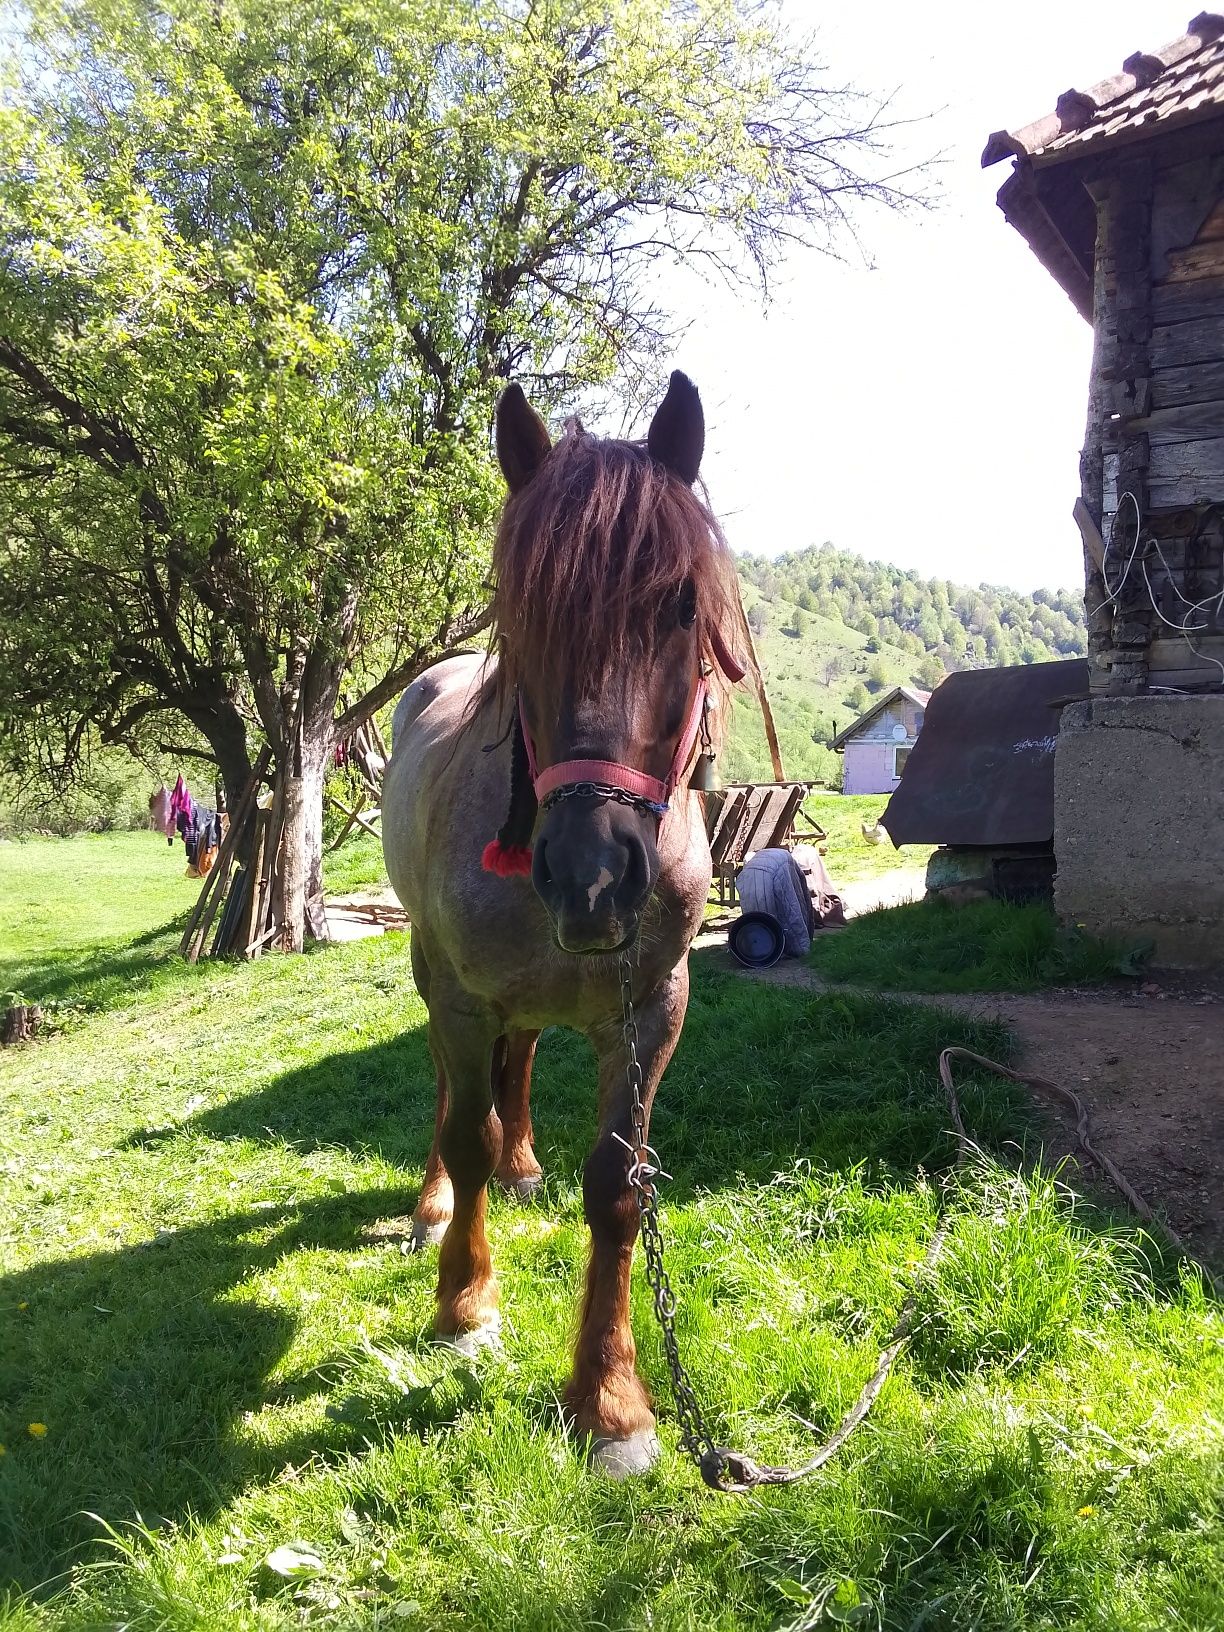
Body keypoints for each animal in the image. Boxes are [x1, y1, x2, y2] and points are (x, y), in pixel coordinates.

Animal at [383, 373, 747, 1481]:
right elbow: (463, 1129)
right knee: (452, 1091)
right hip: (433, 978)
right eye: (522, 610)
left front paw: (613, 1401)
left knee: (524, 1061)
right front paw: (464, 1305)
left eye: (682, 606)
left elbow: (620, 1189)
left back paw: (524, 1164)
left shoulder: (650, 1013)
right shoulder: (461, 997)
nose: (592, 877)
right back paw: (436, 1209)